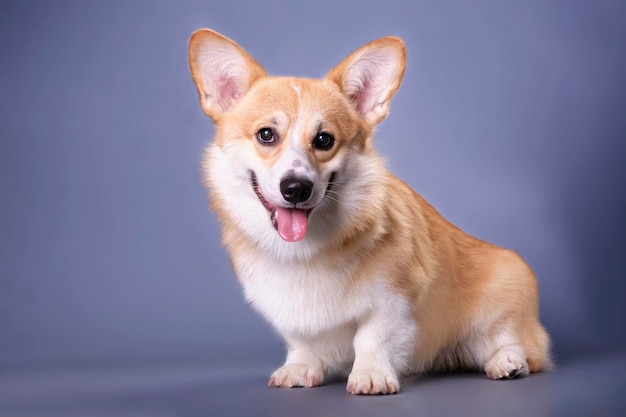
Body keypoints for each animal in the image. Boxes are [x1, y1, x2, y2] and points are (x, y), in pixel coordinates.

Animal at [188, 29, 548, 394]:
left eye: (324, 139)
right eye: (266, 134)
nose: (297, 188)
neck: (306, 251)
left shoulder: (393, 299)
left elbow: (371, 339)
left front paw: (371, 375)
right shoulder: (287, 312)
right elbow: (301, 339)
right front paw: (300, 367)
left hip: (505, 289)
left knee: (519, 345)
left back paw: (507, 363)